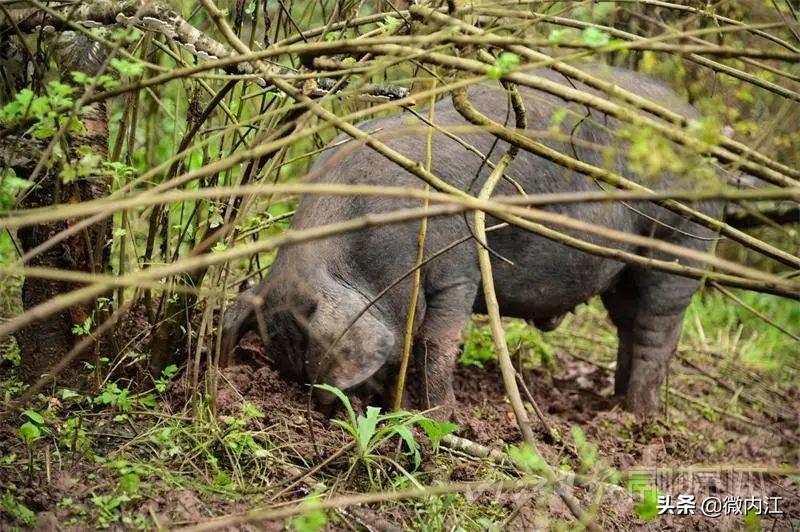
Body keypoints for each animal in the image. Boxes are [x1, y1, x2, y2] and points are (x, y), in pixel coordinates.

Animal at [223, 64, 720, 418]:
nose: (333, 403)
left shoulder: (455, 269)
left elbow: (435, 343)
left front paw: (440, 419)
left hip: (684, 240)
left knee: (658, 331)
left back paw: (636, 418)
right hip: (623, 272)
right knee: (628, 328)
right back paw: (615, 406)